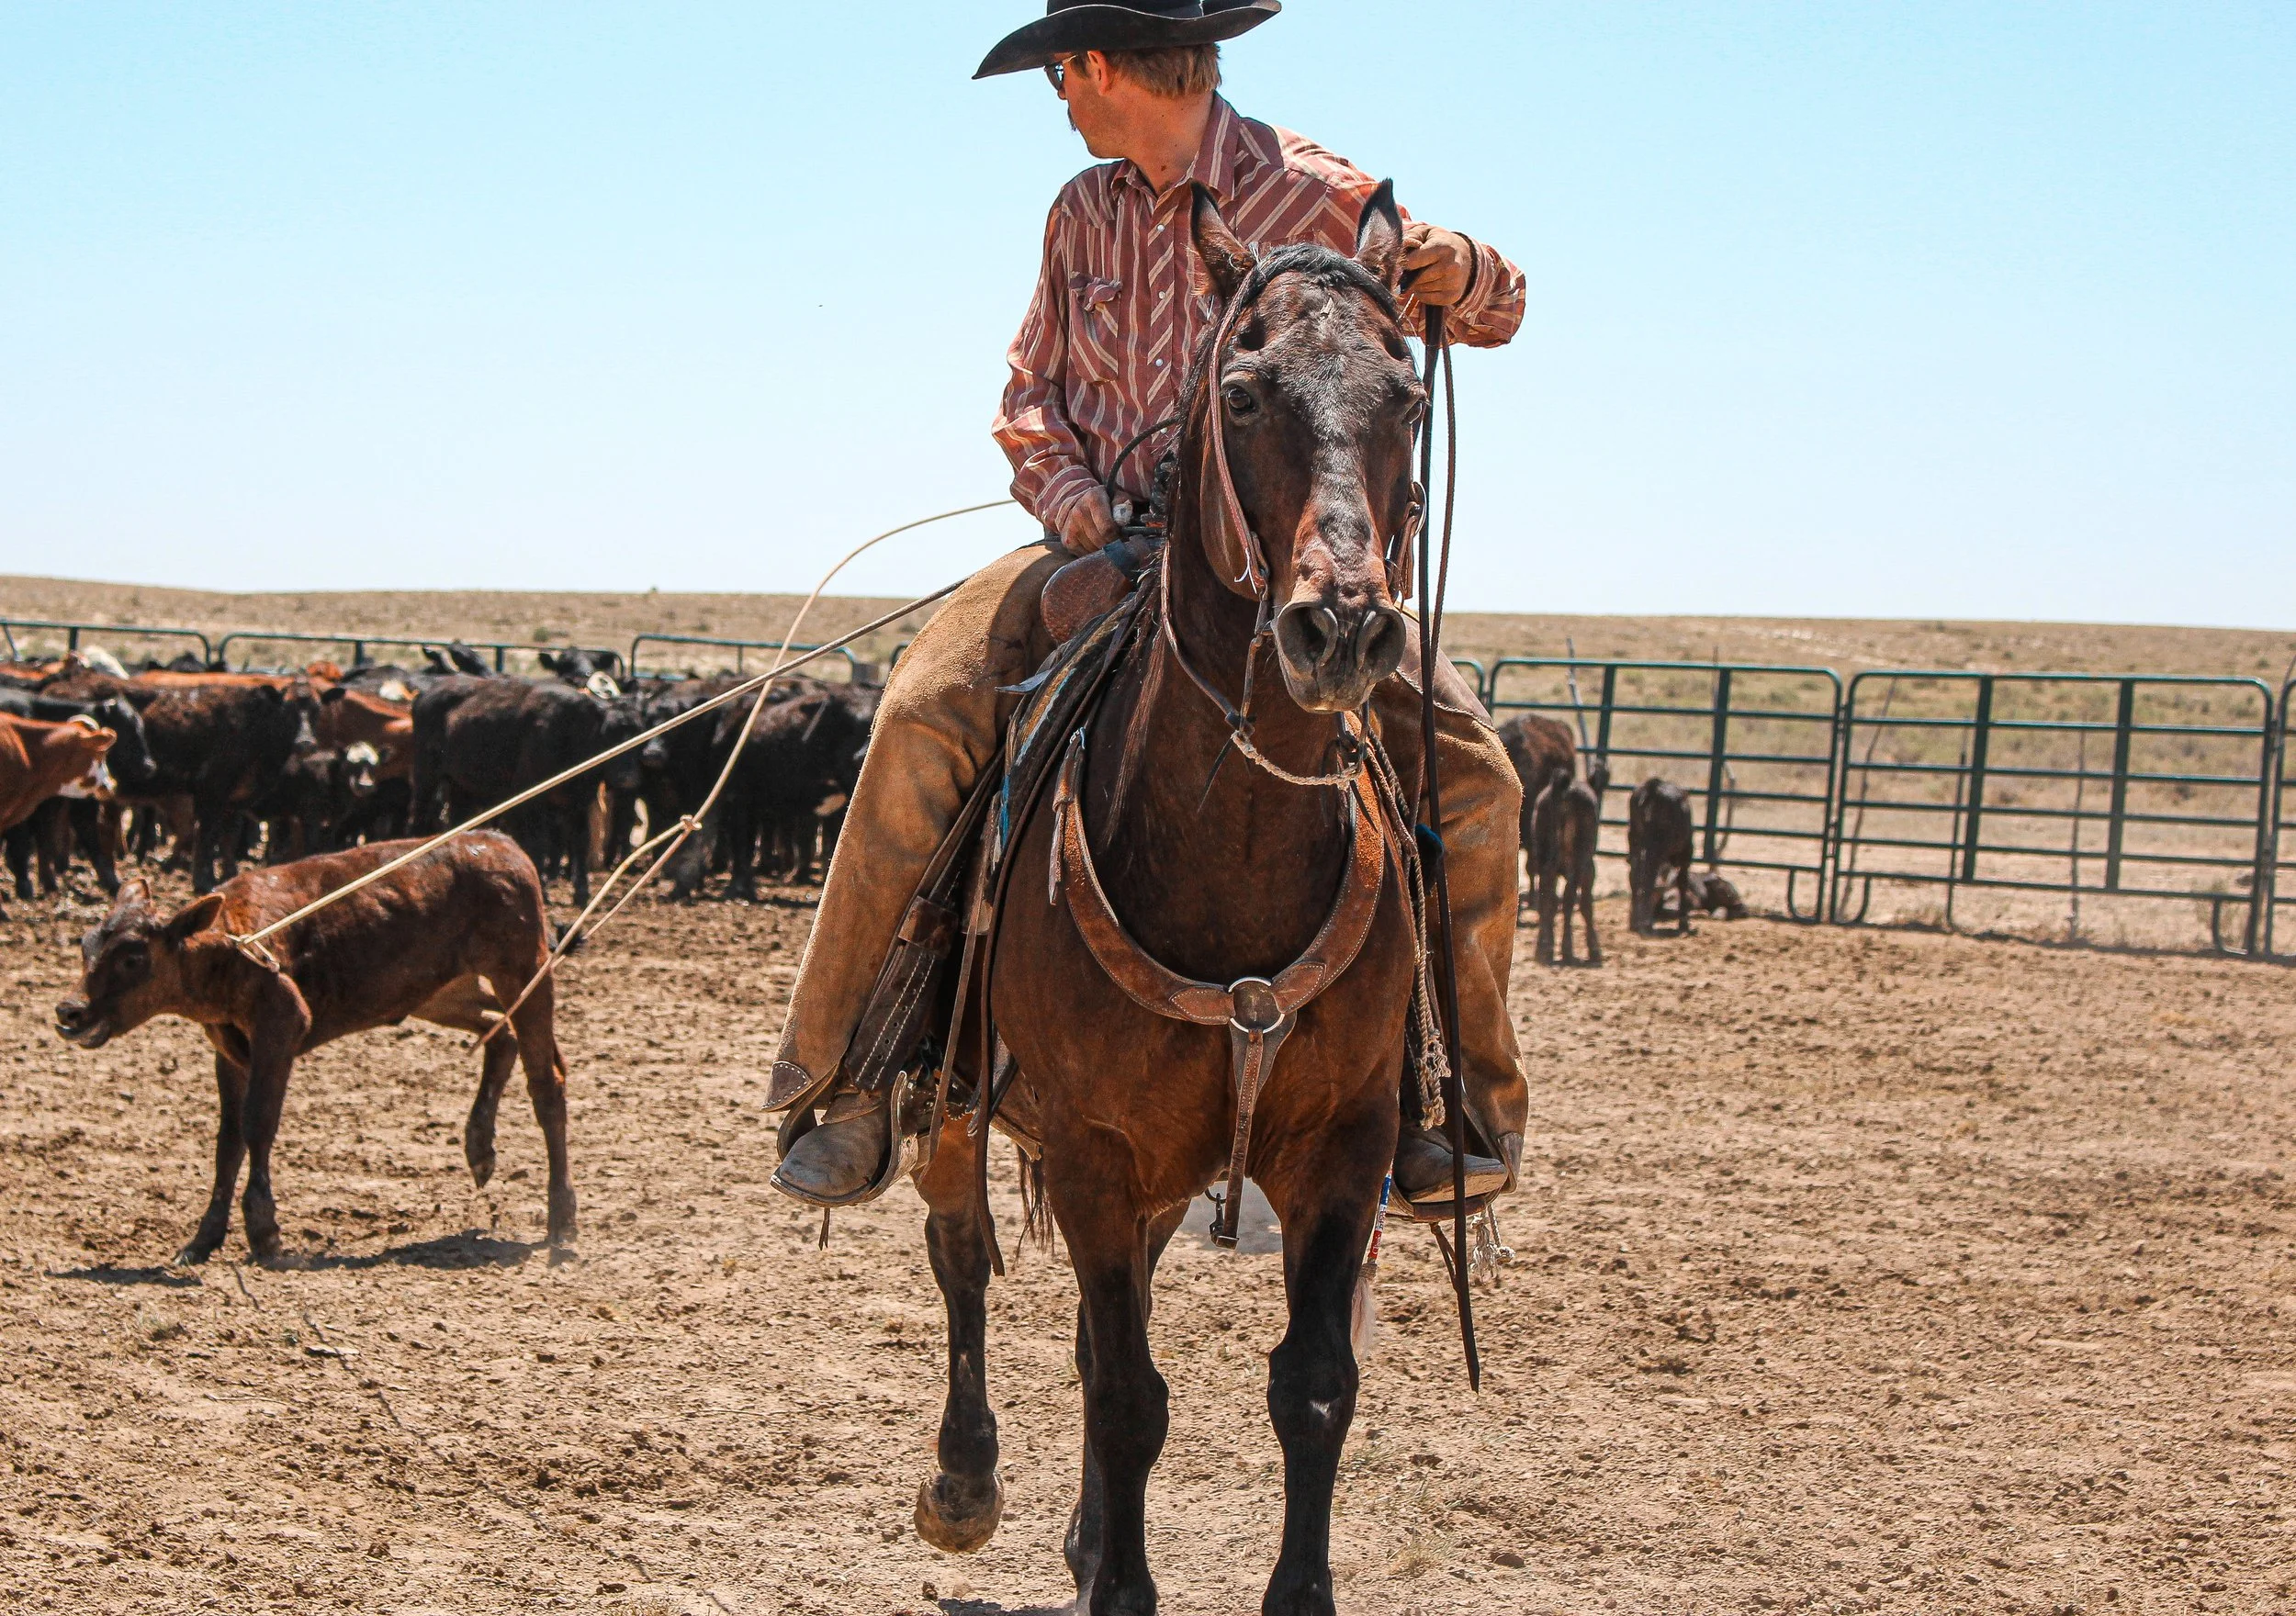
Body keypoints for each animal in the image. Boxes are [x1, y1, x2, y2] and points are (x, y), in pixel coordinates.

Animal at [52, 835, 577, 1265]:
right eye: (86, 944)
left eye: (133, 957)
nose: (70, 1011)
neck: (231, 944)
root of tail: (504, 847)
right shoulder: (228, 1051)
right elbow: (228, 1140)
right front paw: (203, 1240)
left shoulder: (280, 1028)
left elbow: (258, 1123)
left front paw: (264, 1230)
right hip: (440, 992)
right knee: (499, 1032)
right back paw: (480, 1148)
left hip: (523, 970)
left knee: (546, 1085)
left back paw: (562, 1219)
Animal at [909, 183, 1434, 1616]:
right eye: (1243, 394)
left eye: (1411, 395)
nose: (1342, 627)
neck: (1229, 847)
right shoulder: (1093, 1150)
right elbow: (1128, 1396)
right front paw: (1117, 1583)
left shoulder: (1343, 1148)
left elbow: (1312, 1388)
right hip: (968, 1099)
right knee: (964, 1249)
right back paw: (964, 1481)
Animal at [1531, 759, 1607, 966]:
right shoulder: (1590, 868)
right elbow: (1586, 903)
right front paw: (1594, 950)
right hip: (1581, 860)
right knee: (1569, 897)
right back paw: (1567, 951)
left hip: (1544, 853)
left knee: (1547, 895)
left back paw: (1543, 949)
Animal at [1629, 777, 1697, 936]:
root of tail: (1653, 787)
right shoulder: (1686, 853)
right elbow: (1682, 882)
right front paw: (1683, 923)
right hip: (1657, 846)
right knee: (1648, 877)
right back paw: (1645, 923)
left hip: (1634, 839)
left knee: (1635, 875)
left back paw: (1635, 922)